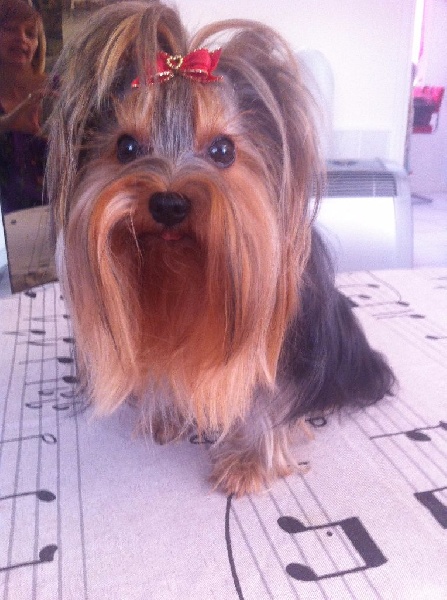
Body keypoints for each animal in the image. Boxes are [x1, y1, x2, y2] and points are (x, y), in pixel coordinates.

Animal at [46, 0, 395, 497]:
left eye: (223, 150)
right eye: (126, 147)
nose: (169, 203)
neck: (179, 275)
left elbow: (267, 399)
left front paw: (247, 462)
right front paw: (166, 417)